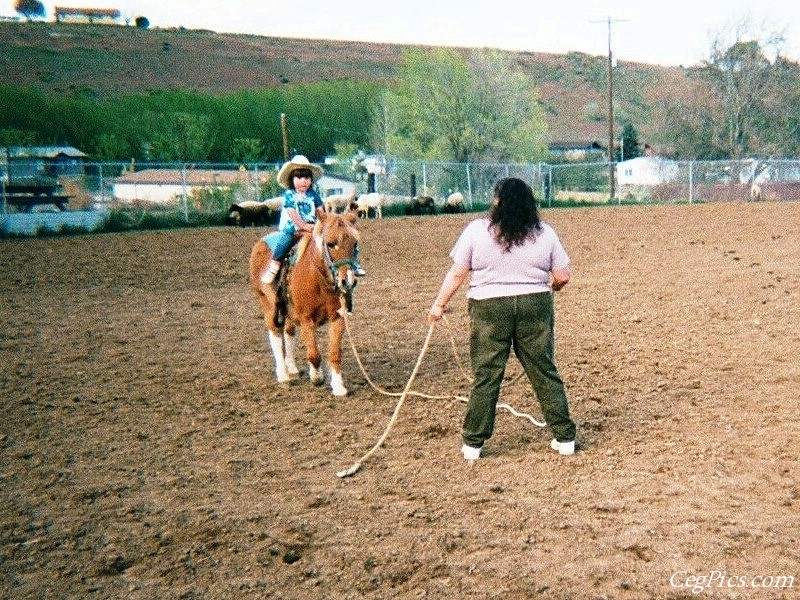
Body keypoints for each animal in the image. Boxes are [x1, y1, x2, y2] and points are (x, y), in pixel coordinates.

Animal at [250, 209, 362, 396]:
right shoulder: (306, 319)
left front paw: (338, 387)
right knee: (275, 334)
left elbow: (334, 353)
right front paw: (317, 376)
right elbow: (314, 355)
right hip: (268, 305)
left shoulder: (337, 317)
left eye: (355, 244)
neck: (319, 279)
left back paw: (292, 368)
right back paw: (283, 375)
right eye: (330, 244)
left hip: (288, 311)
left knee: (288, 333)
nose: (347, 281)